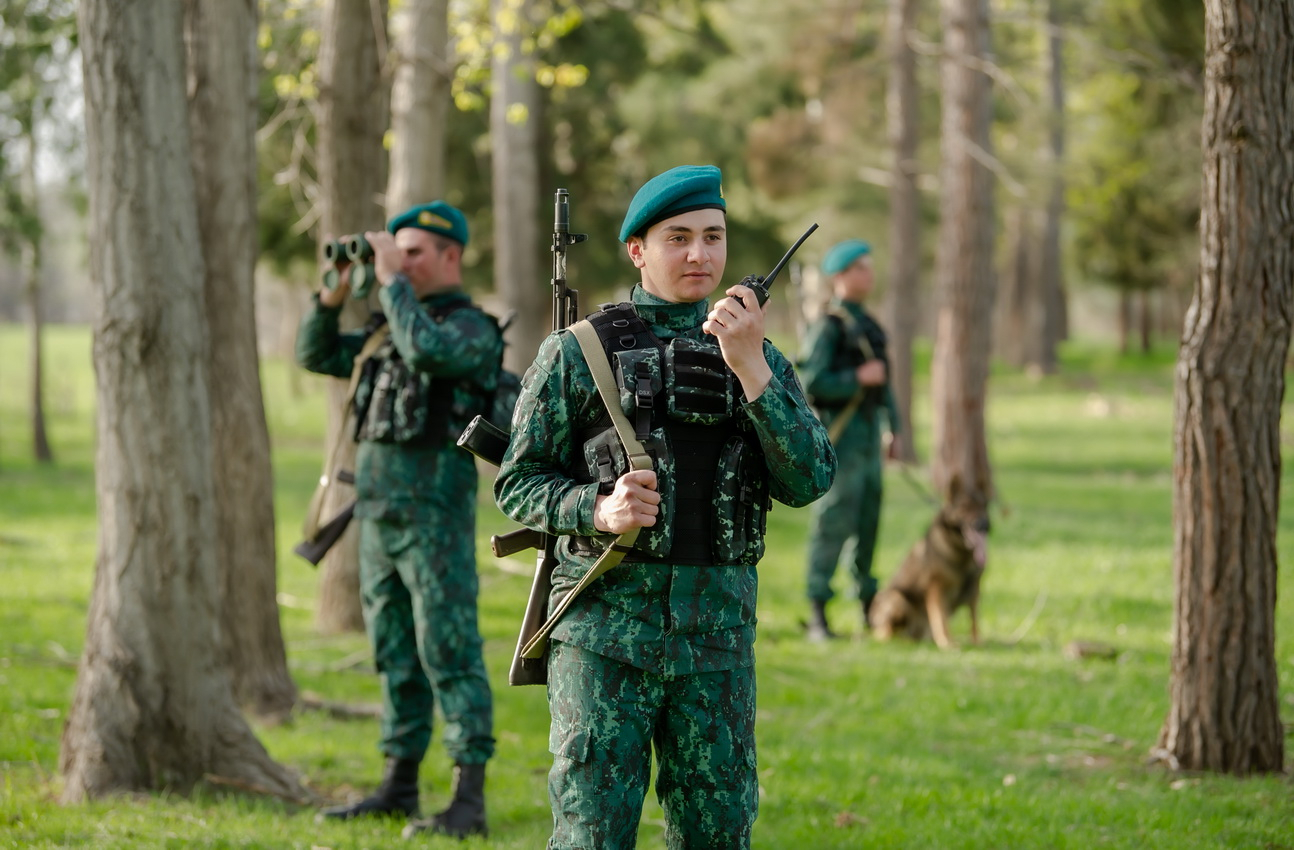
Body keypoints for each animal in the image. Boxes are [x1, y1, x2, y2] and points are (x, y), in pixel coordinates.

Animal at [869, 476, 988, 649]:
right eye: (964, 508)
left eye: (983, 507)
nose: (984, 524)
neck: (962, 554)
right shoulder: (935, 588)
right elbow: (940, 618)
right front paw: (947, 643)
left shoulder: (974, 588)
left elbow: (974, 618)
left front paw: (977, 642)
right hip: (896, 598)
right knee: (884, 634)